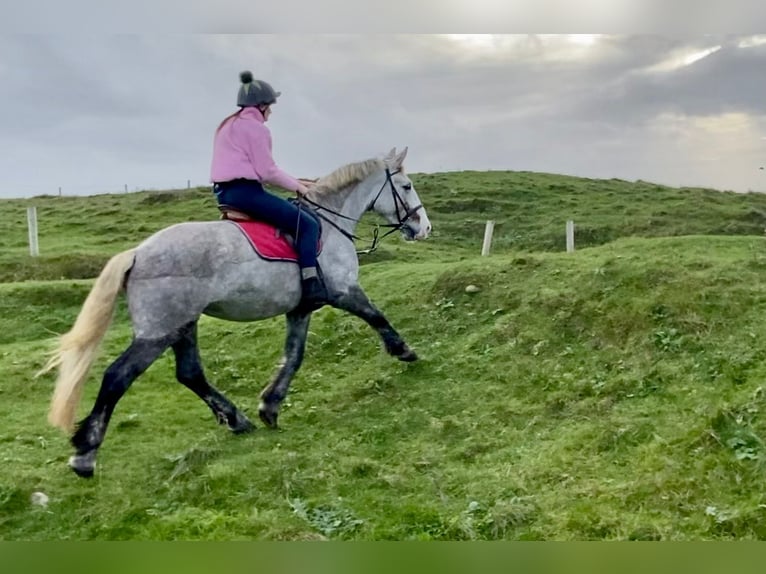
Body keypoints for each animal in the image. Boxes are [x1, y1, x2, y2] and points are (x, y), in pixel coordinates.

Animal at [38, 146, 432, 478]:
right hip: (157, 332)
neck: (330, 226)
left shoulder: (301, 309)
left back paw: (237, 420)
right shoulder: (344, 291)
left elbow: (293, 356)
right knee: (117, 377)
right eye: (407, 186)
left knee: (190, 374)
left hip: (183, 324)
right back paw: (85, 454)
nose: (424, 227)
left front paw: (270, 407)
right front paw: (404, 350)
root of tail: (137, 253)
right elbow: (376, 316)